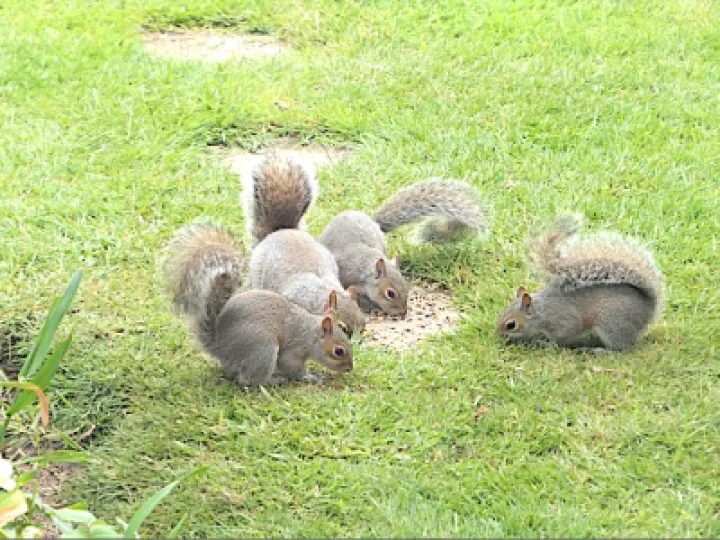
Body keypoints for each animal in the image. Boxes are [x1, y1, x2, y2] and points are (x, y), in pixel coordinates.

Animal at [165, 221, 353, 386]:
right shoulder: (294, 350)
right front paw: (311, 377)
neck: (310, 334)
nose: (350, 368)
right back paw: (273, 381)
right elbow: (293, 368)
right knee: (249, 380)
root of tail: (219, 346)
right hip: (263, 349)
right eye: (338, 351)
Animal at [496, 214, 664, 351]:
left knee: (620, 347)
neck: (542, 311)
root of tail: (649, 307)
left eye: (511, 325)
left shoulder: (563, 320)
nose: (498, 336)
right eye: (501, 312)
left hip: (612, 323)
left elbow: (562, 337)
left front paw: (546, 344)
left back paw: (599, 351)